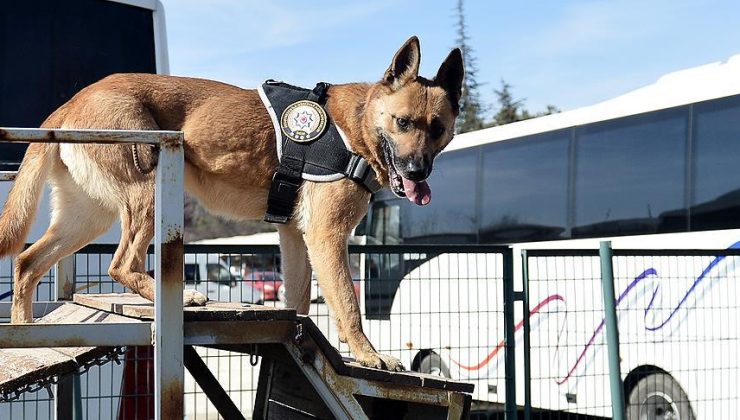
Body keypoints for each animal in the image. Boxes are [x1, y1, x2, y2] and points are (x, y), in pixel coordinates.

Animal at [0, 37, 462, 370]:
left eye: (437, 128)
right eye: (402, 122)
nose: (417, 172)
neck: (359, 126)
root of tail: (70, 103)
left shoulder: (295, 235)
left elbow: (298, 303)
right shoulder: (327, 235)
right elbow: (348, 306)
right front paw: (370, 355)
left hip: (87, 218)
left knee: (27, 264)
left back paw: (24, 338)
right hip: (148, 192)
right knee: (121, 263)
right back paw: (184, 296)